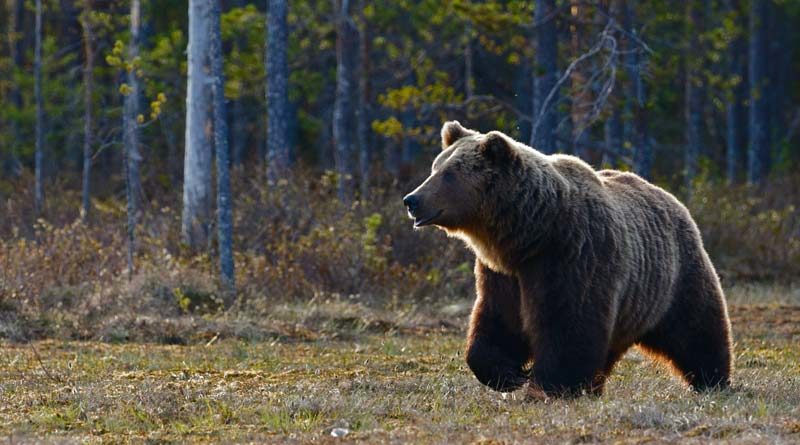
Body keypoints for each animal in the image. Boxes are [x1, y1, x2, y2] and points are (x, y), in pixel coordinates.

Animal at [404, 119, 736, 398]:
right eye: (435, 167)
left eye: (449, 174)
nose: (412, 199)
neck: (530, 234)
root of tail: (670, 197)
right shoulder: (503, 274)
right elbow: (498, 322)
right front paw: (509, 374)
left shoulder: (572, 257)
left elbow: (568, 325)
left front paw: (549, 385)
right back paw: (596, 386)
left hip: (674, 276)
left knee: (697, 328)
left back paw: (712, 380)